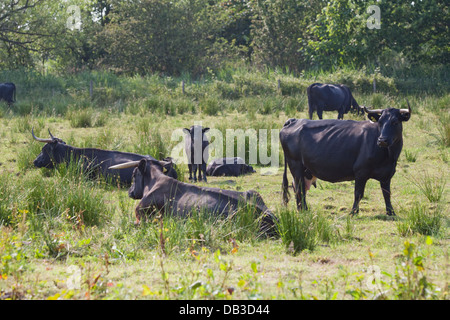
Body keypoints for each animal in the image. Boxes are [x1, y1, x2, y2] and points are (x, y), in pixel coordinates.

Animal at [282, 101, 412, 216]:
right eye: (380, 122)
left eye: (395, 122)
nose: (382, 140)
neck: (389, 156)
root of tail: (294, 120)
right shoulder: (361, 172)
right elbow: (358, 193)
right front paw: (354, 212)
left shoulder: (387, 174)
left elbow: (387, 194)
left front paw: (391, 212)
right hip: (295, 165)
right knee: (299, 189)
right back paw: (303, 210)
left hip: (304, 170)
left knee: (299, 188)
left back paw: (302, 209)